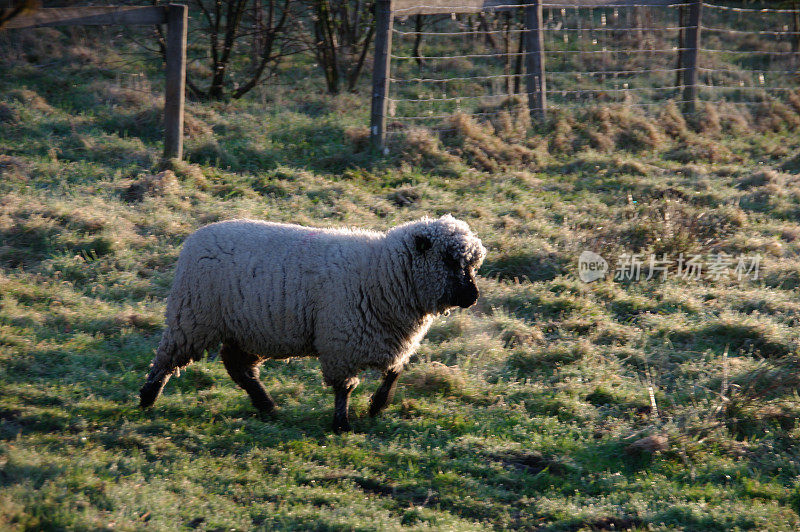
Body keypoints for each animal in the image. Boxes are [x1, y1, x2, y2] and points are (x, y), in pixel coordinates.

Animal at [138, 214, 484, 430]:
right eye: (449, 259)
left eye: (473, 264)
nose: (473, 297)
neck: (382, 272)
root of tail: (196, 237)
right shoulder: (342, 341)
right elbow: (344, 388)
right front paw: (342, 425)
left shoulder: (389, 340)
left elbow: (393, 373)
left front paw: (377, 406)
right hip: (193, 318)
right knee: (167, 359)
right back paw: (147, 399)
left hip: (247, 328)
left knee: (237, 366)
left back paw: (267, 406)